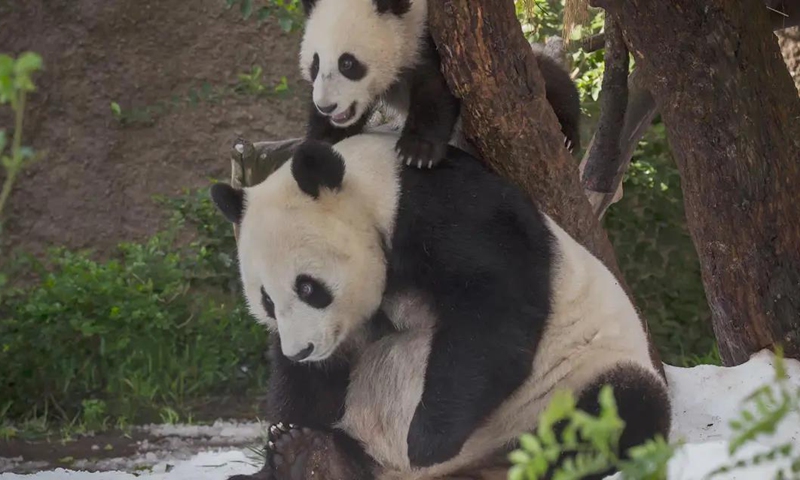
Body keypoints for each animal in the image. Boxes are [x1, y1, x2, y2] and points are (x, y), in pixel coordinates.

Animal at [212, 132, 670, 480]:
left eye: (308, 287)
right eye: (266, 300)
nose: (302, 349)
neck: (377, 191)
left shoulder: (455, 213)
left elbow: (493, 310)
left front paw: (427, 441)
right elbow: (311, 383)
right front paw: (283, 438)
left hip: (571, 383)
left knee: (622, 411)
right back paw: (314, 458)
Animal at [298, 0, 582, 169]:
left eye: (347, 63)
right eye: (315, 63)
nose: (327, 106)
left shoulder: (434, 42)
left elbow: (436, 92)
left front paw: (417, 151)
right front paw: (323, 137)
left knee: (553, 81)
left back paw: (568, 138)